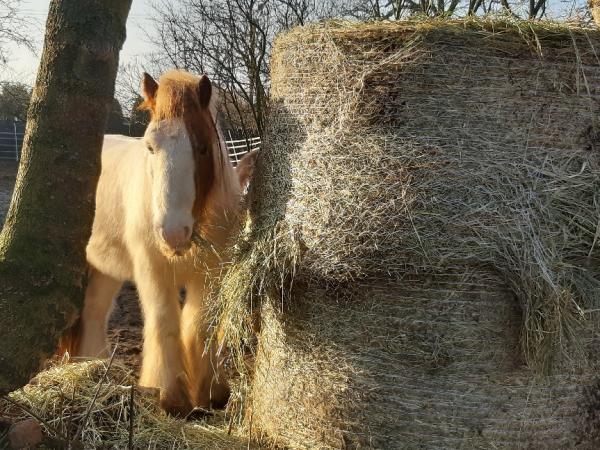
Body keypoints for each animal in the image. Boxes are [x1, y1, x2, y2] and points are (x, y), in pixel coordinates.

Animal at [58, 68, 258, 416]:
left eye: (202, 148)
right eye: (151, 147)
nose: (173, 232)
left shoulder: (209, 275)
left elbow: (199, 326)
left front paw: (209, 393)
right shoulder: (153, 271)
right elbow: (165, 322)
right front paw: (171, 396)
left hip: (105, 269)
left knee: (94, 313)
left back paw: (93, 368)